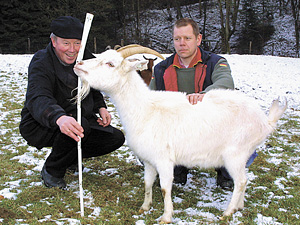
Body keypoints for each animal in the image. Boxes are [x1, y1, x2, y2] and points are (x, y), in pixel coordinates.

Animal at [74, 48, 288, 222]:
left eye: (110, 64)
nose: (78, 64)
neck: (145, 109)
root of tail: (265, 121)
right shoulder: (149, 160)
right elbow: (147, 183)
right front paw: (144, 207)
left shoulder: (164, 159)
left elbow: (164, 187)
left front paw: (166, 216)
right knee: (245, 180)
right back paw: (239, 206)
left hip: (235, 154)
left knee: (241, 181)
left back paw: (227, 212)